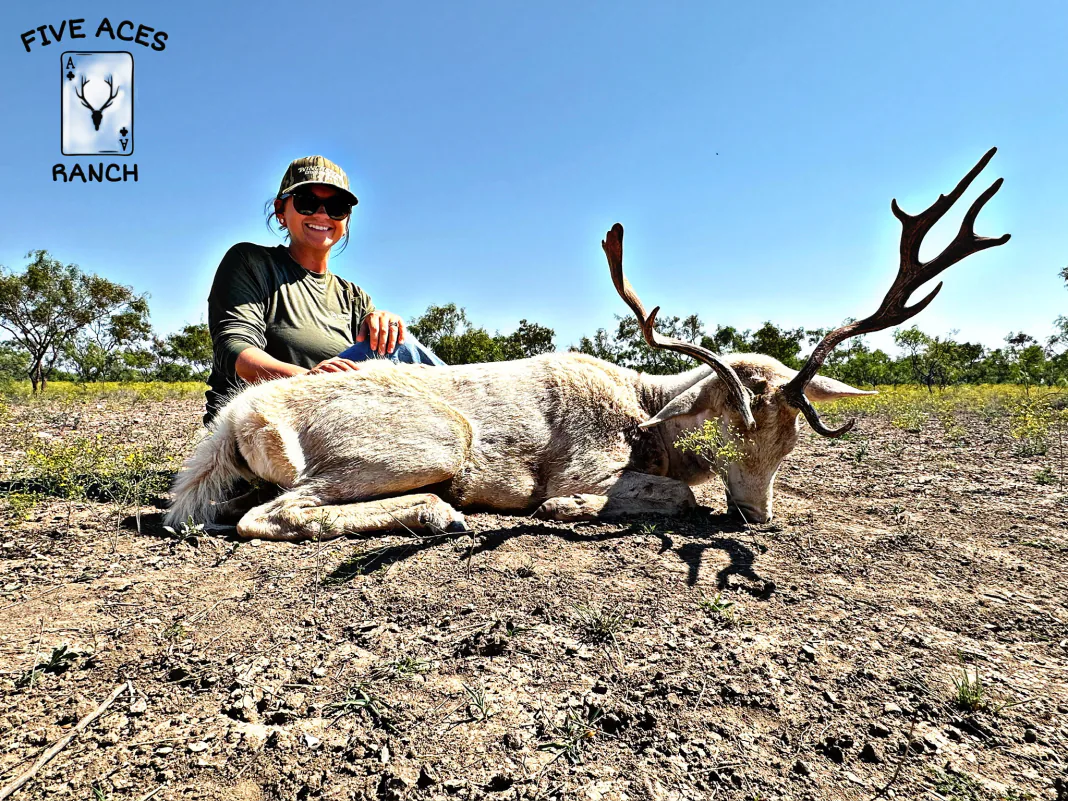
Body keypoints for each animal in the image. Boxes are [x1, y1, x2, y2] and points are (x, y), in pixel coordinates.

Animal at [166, 149, 1009, 541]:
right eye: (725, 429)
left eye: (792, 440)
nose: (756, 517)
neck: (645, 417)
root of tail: (239, 418)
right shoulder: (585, 465)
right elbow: (661, 497)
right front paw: (581, 507)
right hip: (430, 438)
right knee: (270, 514)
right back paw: (439, 511)